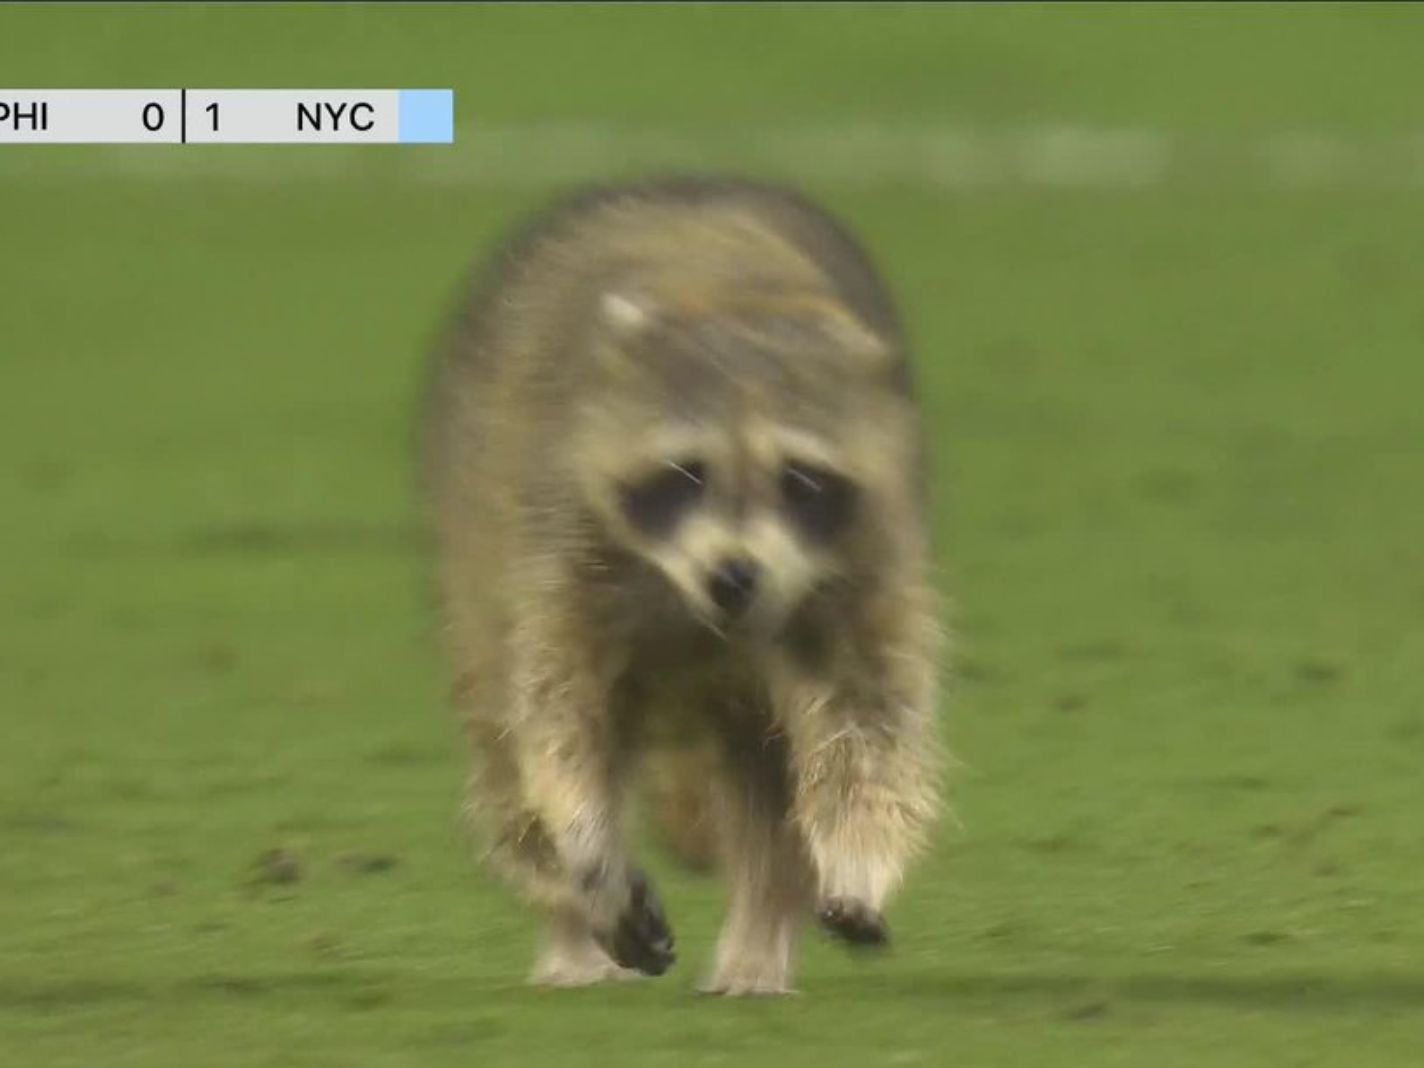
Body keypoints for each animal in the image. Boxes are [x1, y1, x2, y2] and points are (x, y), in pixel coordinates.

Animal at [422, 176, 945, 995]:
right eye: (686, 473)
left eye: (799, 479)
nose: (733, 574)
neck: (732, 294)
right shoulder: (557, 530)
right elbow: (558, 716)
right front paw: (590, 857)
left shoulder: (869, 543)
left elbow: (871, 713)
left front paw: (858, 855)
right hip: (477, 538)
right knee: (505, 749)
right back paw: (569, 923)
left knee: (769, 781)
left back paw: (759, 938)